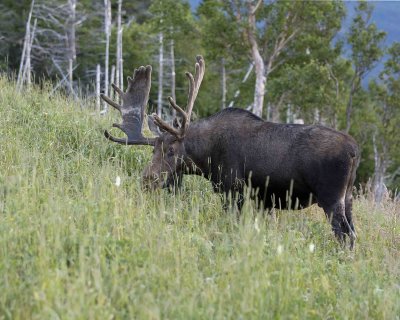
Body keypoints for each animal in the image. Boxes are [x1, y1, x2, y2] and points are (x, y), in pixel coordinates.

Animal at [100, 55, 360, 248]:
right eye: (153, 150)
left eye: (172, 150)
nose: (148, 179)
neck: (206, 159)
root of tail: (355, 151)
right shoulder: (260, 200)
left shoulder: (233, 190)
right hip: (347, 197)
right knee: (354, 234)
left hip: (331, 198)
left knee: (345, 235)